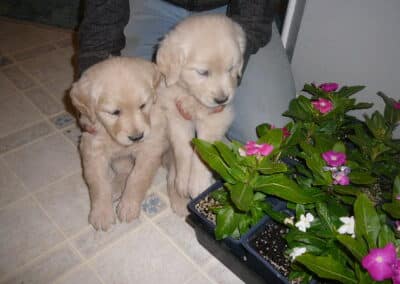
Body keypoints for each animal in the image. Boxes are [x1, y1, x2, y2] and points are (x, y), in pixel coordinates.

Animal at [70, 57, 166, 231]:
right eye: (114, 112)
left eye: (143, 105)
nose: (137, 137)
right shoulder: (93, 148)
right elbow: (98, 183)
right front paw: (101, 213)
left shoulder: (151, 147)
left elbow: (137, 177)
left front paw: (129, 205)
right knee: (123, 169)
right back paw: (115, 187)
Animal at [157, 14, 247, 212]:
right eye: (202, 72)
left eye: (231, 68)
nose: (222, 99)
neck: (193, 98)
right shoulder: (175, 116)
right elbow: (183, 150)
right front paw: (183, 181)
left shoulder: (217, 118)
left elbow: (204, 150)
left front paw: (197, 183)